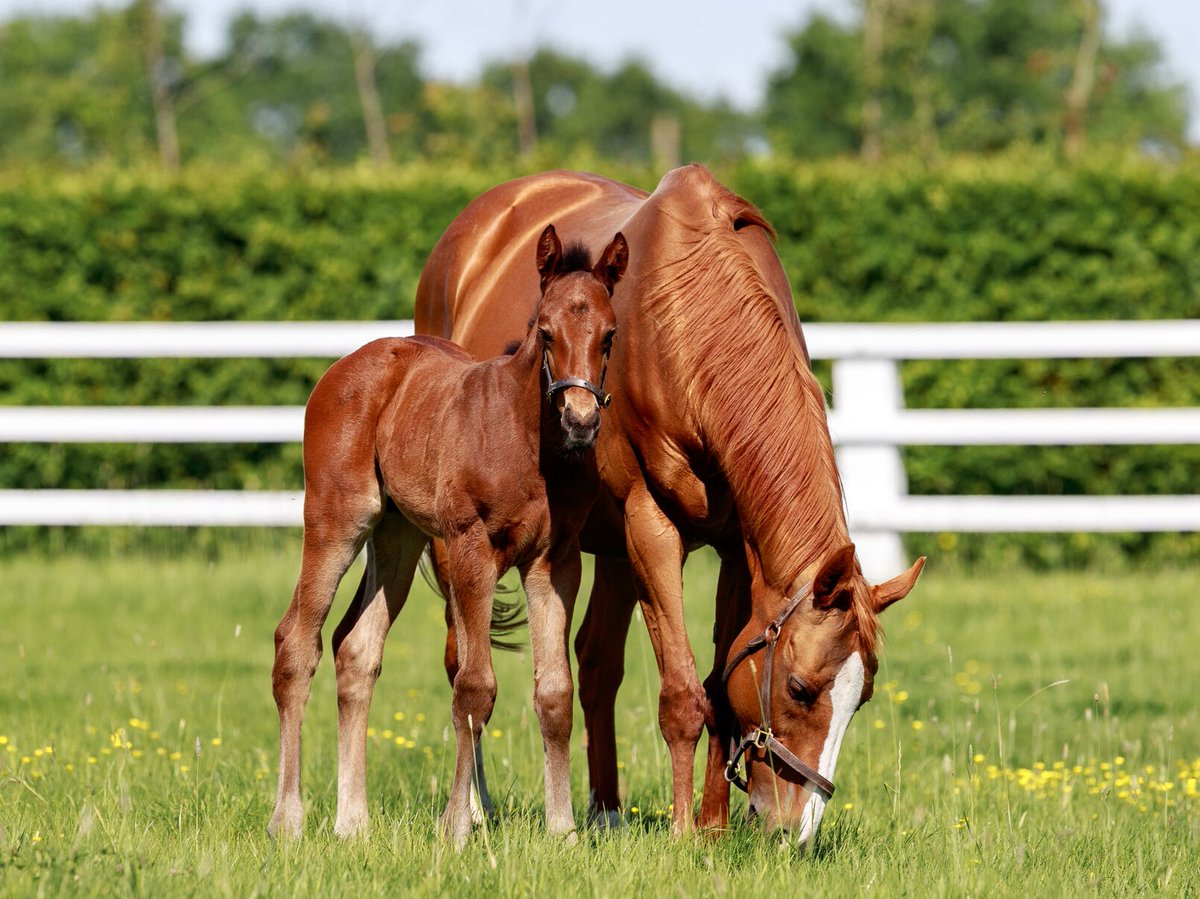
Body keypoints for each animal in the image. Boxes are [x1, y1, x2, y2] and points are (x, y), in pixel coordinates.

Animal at [269, 224, 628, 846]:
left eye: (608, 336)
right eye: (546, 331)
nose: (580, 421)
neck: (528, 441)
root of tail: (345, 366)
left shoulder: (555, 562)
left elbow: (555, 692)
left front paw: (562, 829)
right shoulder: (470, 548)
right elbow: (474, 686)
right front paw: (459, 825)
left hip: (397, 537)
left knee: (356, 649)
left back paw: (352, 823)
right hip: (339, 520)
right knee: (296, 642)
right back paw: (288, 820)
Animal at [415, 165, 924, 844]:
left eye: (860, 698)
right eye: (800, 689)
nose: (797, 830)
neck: (688, 318)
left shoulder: (737, 549)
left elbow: (719, 683)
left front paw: (712, 826)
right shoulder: (652, 527)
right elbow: (683, 692)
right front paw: (685, 831)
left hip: (608, 548)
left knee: (596, 664)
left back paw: (605, 809)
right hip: (471, 546)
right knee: (461, 660)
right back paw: (476, 807)